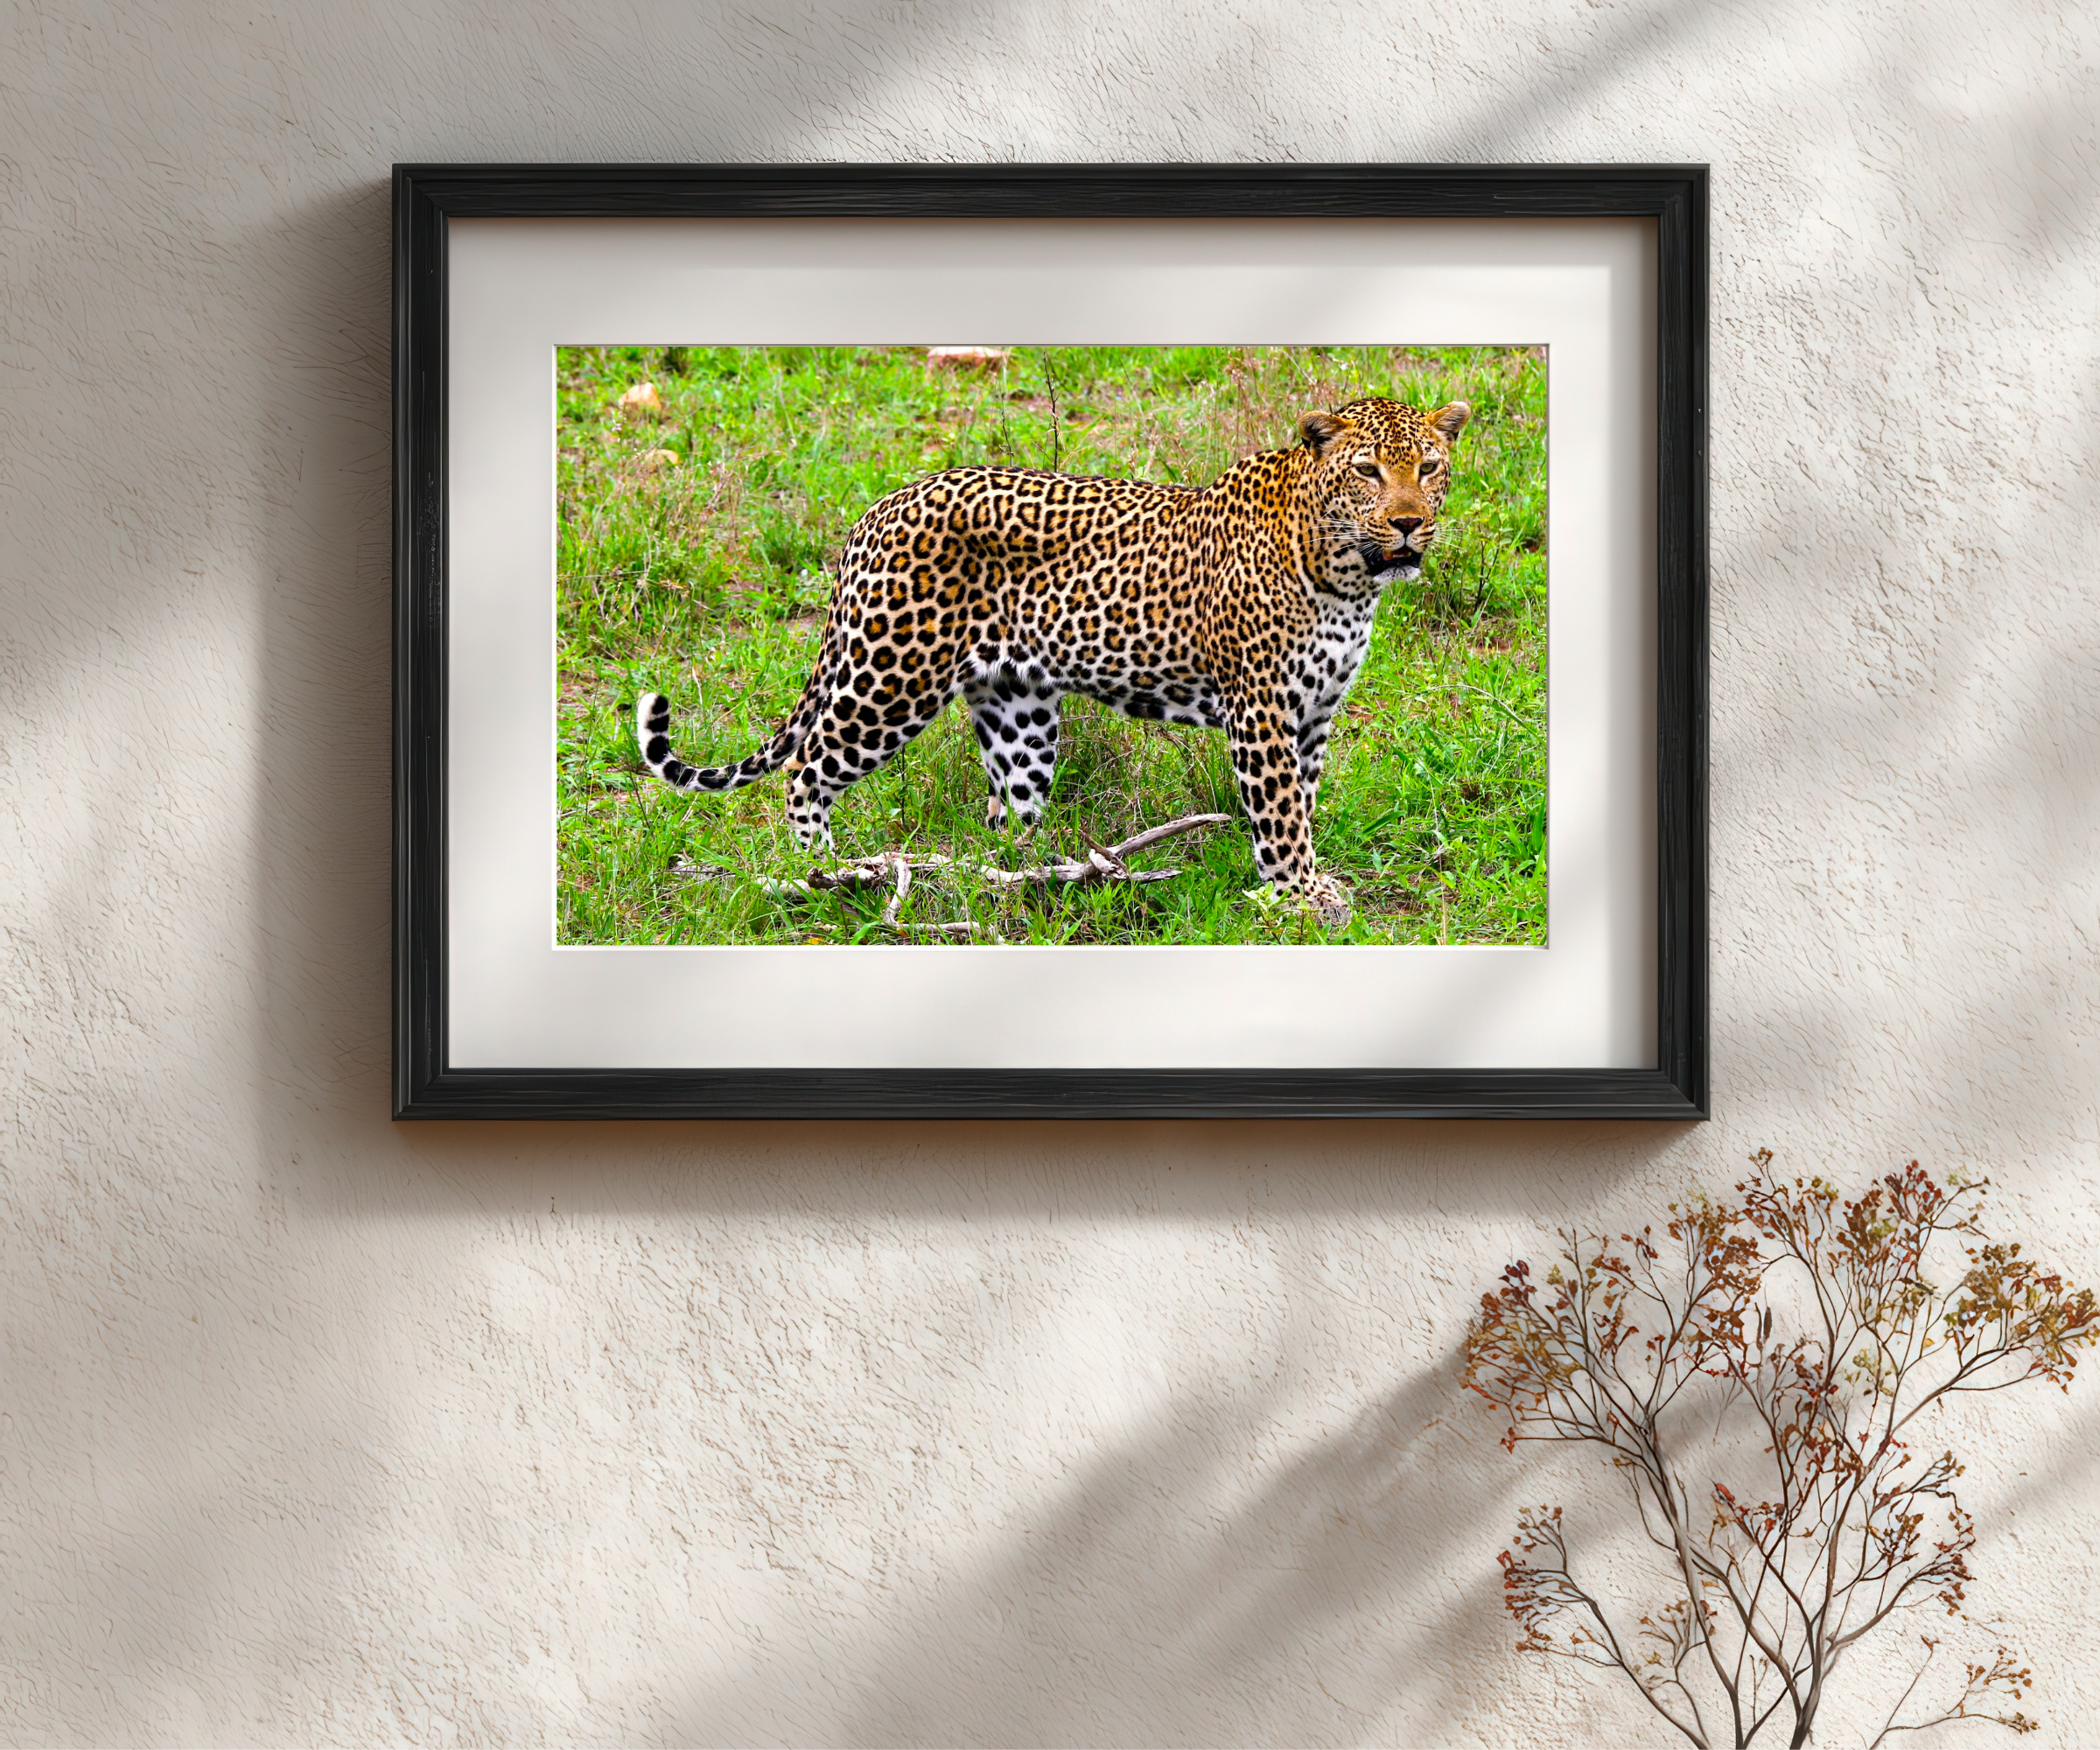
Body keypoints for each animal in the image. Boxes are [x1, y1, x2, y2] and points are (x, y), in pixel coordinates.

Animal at [636, 395, 1469, 928]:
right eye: (1367, 472)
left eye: (1429, 468)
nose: (1407, 524)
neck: (1348, 575)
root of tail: (875, 510)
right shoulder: (1262, 707)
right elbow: (1280, 813)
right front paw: (1298, 896)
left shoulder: (1316, 711)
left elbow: (1304, 800)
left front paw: (1309, 882)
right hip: (890, 678)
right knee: (807, 770)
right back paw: (823, 872)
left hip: (1018, 710)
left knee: (1005, 814)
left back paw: (1034, 878)